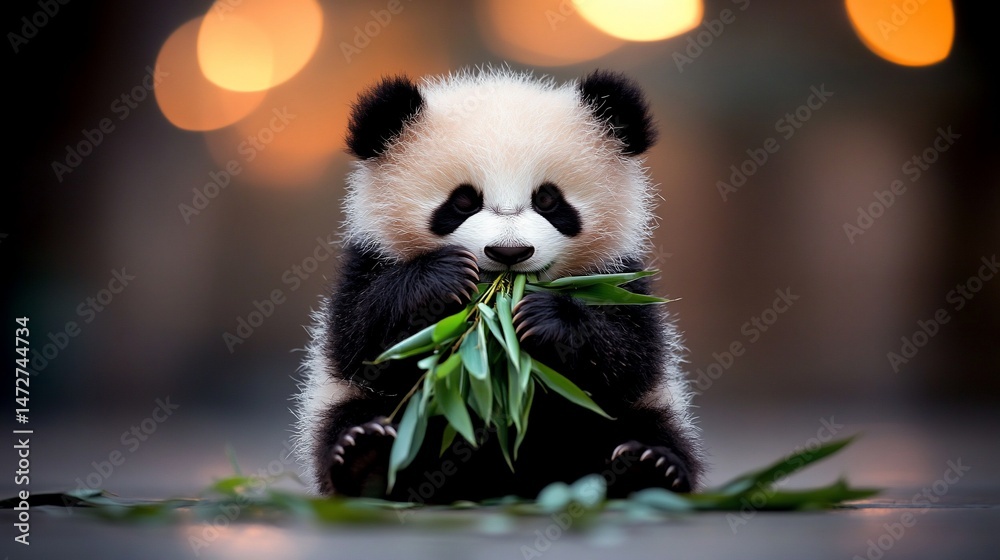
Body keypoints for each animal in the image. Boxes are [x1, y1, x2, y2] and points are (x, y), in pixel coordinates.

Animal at [292, 68, 704, 503]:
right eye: (463, 201)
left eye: (547, 199)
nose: (509, 252)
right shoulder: (368, 261)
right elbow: (361, 343)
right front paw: (442, 279)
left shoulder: (618, 274)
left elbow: (632, 355)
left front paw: (545, 318)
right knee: (350, 418)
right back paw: (366, 459)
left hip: (628, 419)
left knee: (649, 427)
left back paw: (645, 468)